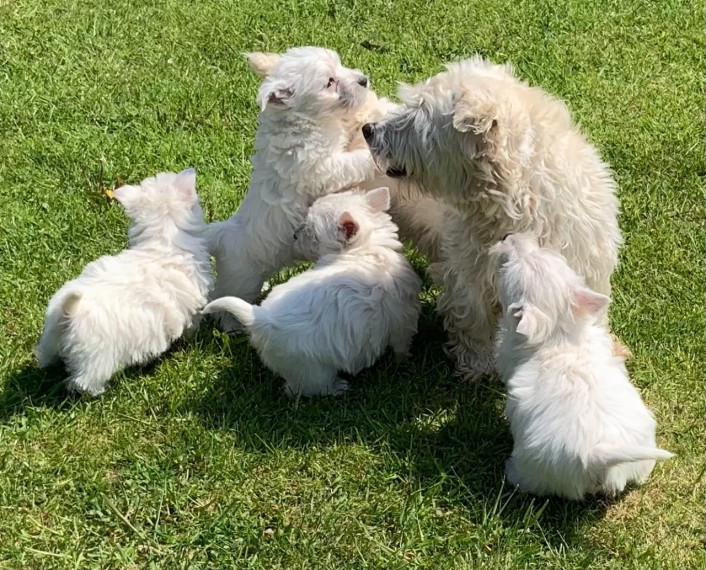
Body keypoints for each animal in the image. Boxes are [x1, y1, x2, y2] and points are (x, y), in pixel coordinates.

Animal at [35, 168, 210, 394]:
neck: (163, 241)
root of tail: (68, 313)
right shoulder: (191, 306)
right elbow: (192, 325)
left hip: (49, 338)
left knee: (45, 357)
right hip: (97, 356)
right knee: (83, 381)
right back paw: (95, 390)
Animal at [201, 186, 420, 394]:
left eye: (313, 234)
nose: (294, 235)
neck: (366, 247)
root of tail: (260, 318)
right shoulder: (403, 319)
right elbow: (402, 344)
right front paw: (403, 362)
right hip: (311, 370)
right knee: (304, 388)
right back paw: (338, 387)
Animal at [206, 46, 376, 328]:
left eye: (340, 65)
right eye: (329, 82)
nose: (364, 80)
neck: (305, 122)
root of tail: (222, 233)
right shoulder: (322, 168)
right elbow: (352, 162)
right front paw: (374, 157)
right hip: (240, 280)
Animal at [360, 56, 620, 378]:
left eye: (416, 117)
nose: (368, 129)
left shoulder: (586, 268)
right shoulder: (468, 272)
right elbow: (473, 319)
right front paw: (477, 365)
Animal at [490, 233, 672, 500]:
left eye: (506, 267)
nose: (508, 236)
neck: (559, 335)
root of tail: (596, 454)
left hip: (535, 471)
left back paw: (508, 472)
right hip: (640, 457)